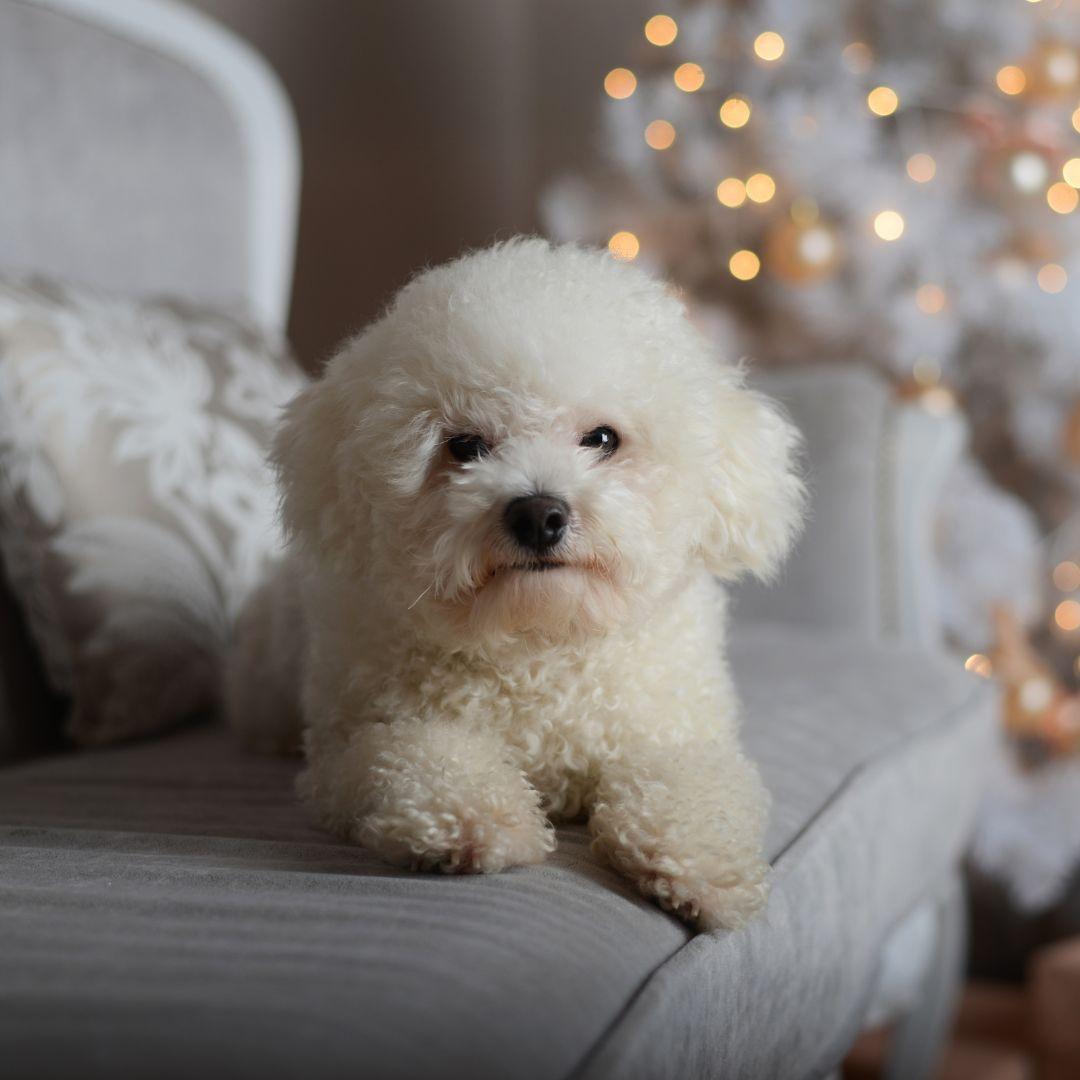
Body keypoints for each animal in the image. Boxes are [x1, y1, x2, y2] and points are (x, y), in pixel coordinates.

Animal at [227, 240, 803, 933]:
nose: (538, 514)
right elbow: (416, 753)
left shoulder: (676, 732)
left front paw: (702, 865)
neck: (539, 645)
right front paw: (470, 821)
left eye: (602, 439)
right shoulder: (347, 753)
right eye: (465, 445)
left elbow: (693, 783)